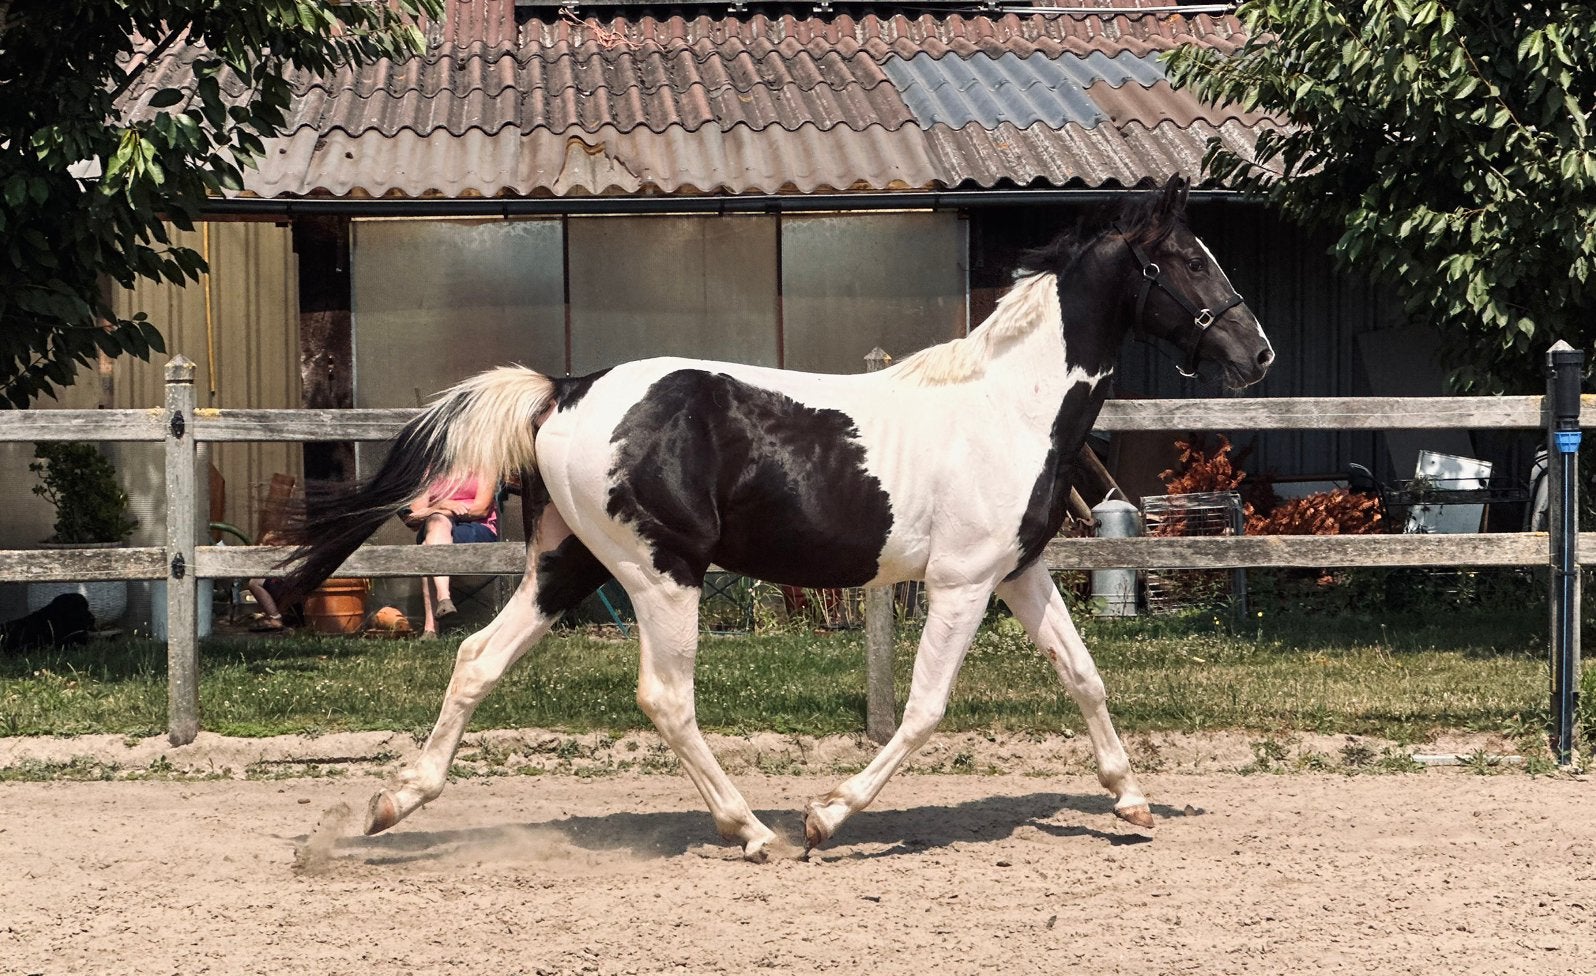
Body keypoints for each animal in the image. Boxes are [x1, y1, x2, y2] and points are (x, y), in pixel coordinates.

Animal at [281, 176, 1274, 862]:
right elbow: (924, 709)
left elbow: (1085, 678)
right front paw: (826, 816)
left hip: (569, 568)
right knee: (666, 698)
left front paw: (1130, 801)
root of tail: (563, 390)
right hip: (659, 574)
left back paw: (389, 805)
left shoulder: (1019, 574)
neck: (1007, 406)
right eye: (1187, 260)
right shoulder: (960, 584)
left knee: (478, 661)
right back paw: (754, 830)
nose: (1256, 351)